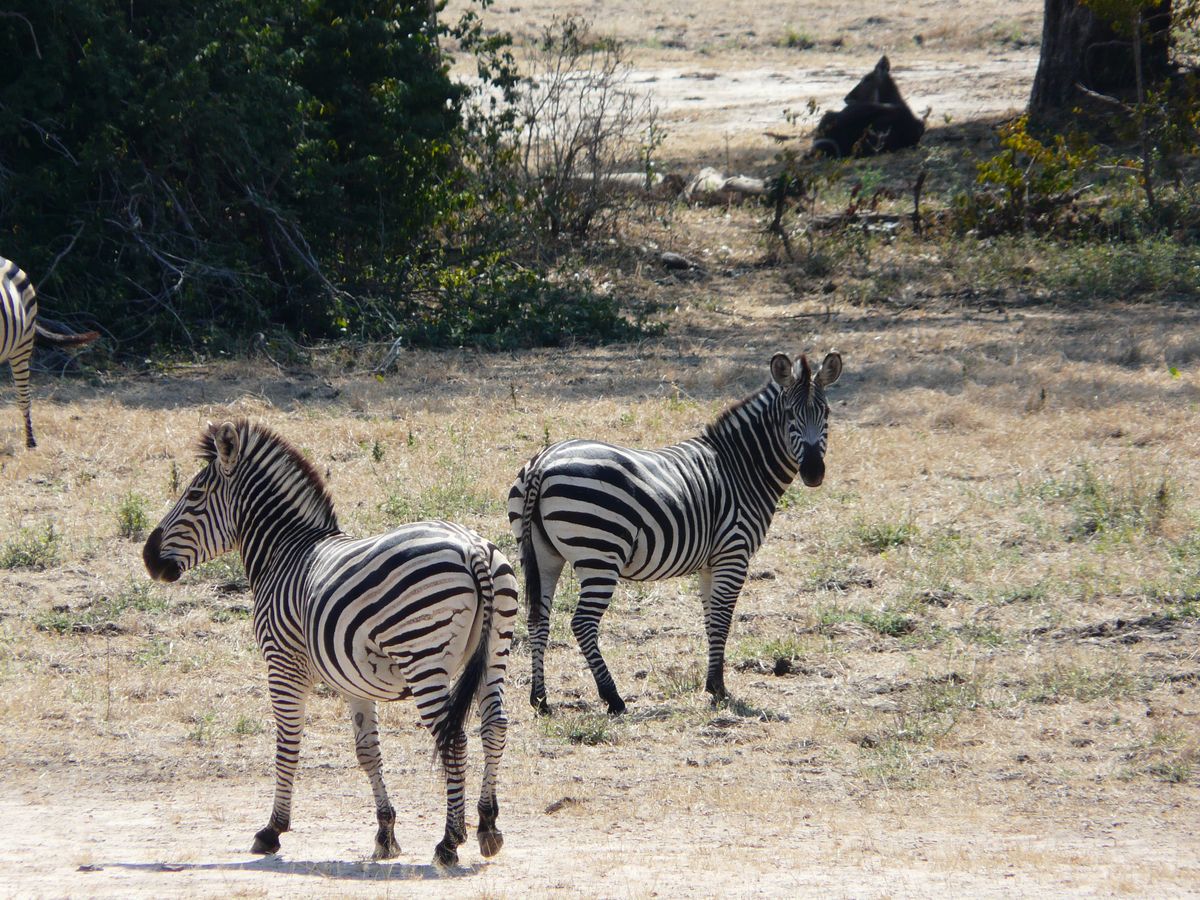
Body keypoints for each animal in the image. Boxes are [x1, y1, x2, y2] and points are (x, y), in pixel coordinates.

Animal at [142, 419, 517, 866]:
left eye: (195, 495)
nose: (148, 558)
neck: (283, 552)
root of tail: (472, 548)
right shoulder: (356, 681)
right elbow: (368, 751)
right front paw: (385, 833)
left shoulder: (281, 664)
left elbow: (287, 743)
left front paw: (273, 830)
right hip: (496, 649)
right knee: (494, 725)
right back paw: (488, 827)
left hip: (423, 657)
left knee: (454, 739)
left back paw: (449, 842)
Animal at [508, 350, 842, 715]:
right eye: (789, 416)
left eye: (825, 414)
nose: (814, 473)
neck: (740, 468)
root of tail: (542, 463)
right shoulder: (734, 554)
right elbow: (722, 619)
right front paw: (718, 688)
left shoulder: (711, 562)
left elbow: (711, 619)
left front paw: (713, 683)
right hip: (599, 552)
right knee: (582, 623)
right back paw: (613, 698)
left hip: (542, 554)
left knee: (537, 619)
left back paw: (540, 699)